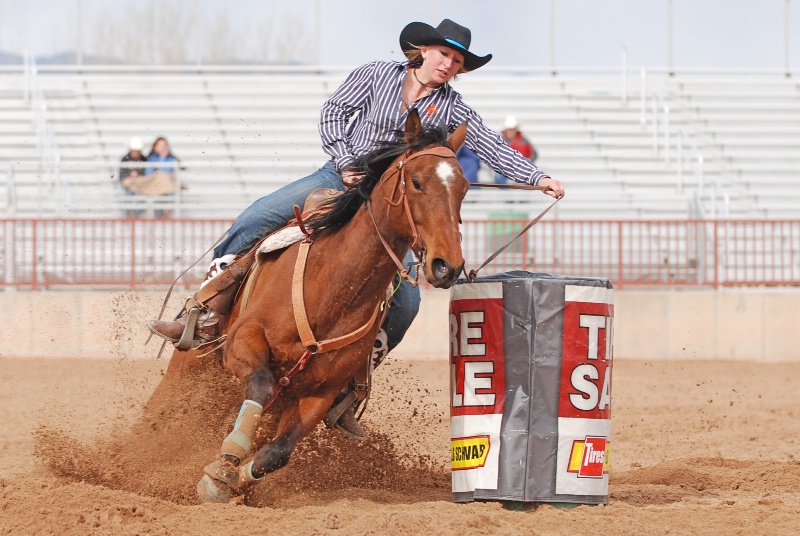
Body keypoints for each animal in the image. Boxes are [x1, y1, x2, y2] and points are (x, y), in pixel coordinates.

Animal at [194, 109, 468, 502]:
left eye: (464, 188)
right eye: (416, 182)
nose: (448, 266)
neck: (334, 289)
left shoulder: (319, 395)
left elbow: (277, 453)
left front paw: (233, 479)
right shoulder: (244, 341)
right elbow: (260, 385)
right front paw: (223, 466)